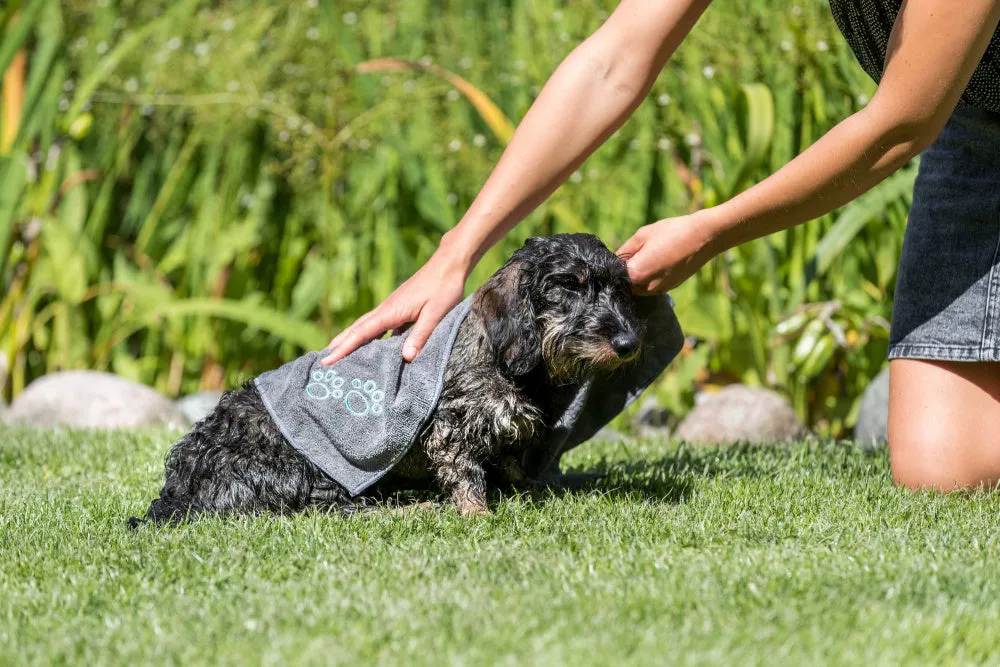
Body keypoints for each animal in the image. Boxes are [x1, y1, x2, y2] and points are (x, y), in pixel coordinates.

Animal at [131, 232, 640, 524]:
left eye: (619, 288)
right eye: (568, 285)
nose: (628, 343)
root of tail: (177, 488)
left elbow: (512, 463)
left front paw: (534, 489)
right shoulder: (451, 428)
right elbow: (464, 471)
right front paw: (476, 513)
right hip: (310, 469)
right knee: (335, 511)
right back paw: (415, 508)